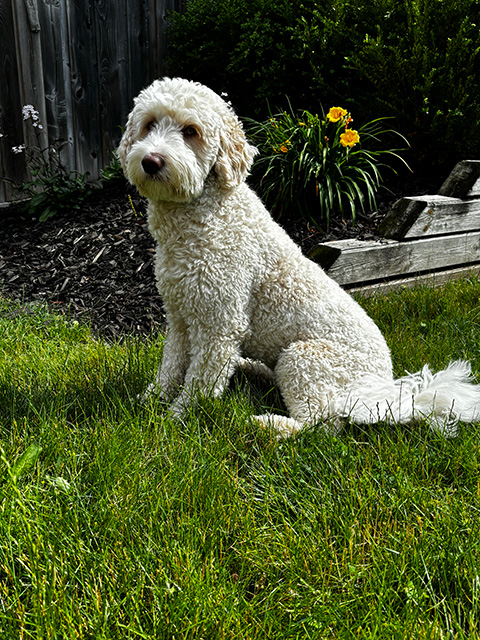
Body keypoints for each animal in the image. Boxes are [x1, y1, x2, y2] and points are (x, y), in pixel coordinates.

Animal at [117, 75, 480, 436]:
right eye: (149, 125)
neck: (201, 219)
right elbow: (170, 367)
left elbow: (200, 382)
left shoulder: (220, 324)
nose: (151, 161)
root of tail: (383, 393)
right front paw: (148, 402)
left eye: (191, 131)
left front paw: (177, 419)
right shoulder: (180, 317)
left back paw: (268, 424)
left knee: (319, 424)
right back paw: (250, 369)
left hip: (303, 357)